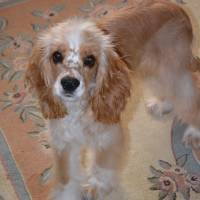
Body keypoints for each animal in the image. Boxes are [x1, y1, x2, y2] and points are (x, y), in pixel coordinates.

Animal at [25, 0, 200, 199]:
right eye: (56, 56)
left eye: (90, 60)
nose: (69, 83)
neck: (78, 109)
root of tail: (177, 7)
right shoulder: (63, 141)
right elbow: (67, 178)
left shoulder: (108, 134)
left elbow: (101, 166)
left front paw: (95, 187)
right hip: (152, 69)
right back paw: (163, 104)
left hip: (171, 69)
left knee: (189, 97)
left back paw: (194, 132)